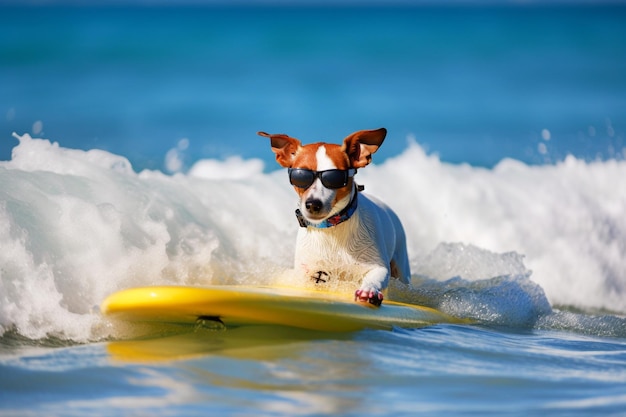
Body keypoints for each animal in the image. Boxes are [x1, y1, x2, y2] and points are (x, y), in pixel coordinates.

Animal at [258, 127, 410, 306]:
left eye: (334, 178)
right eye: (300, 177)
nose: (313, 204)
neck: (331, 228)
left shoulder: (378, 267)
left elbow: (375, 277)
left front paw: (369, 290)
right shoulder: (308, 272)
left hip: (401, 265)